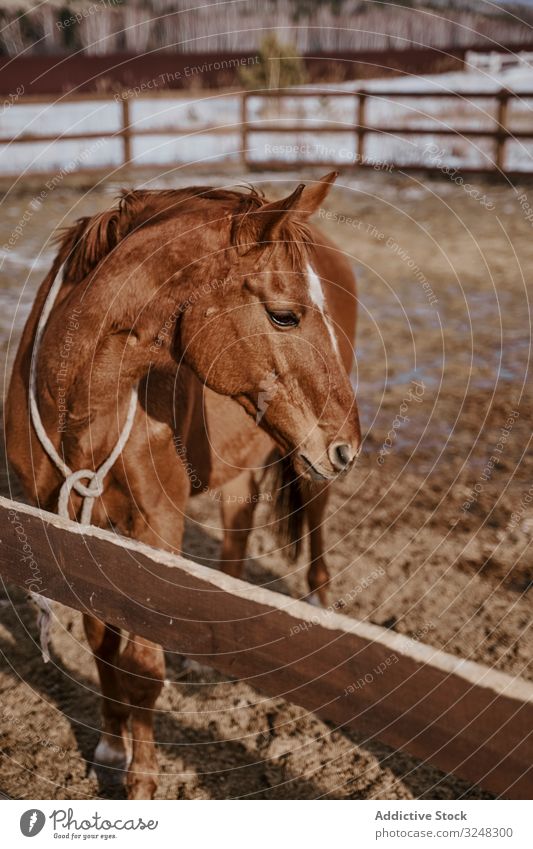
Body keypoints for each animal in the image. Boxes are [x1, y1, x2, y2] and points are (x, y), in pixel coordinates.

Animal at [5, 171, 362, 796]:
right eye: (285, 316)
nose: (350, 443)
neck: (79, 405)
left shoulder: (154, 529)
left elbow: (143, 668)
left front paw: (142, 782)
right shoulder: (70, 526)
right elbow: (102, 645)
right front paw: (110, 744)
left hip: (306, 465)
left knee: (315, 532)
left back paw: (321, 608)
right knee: (238, 531)